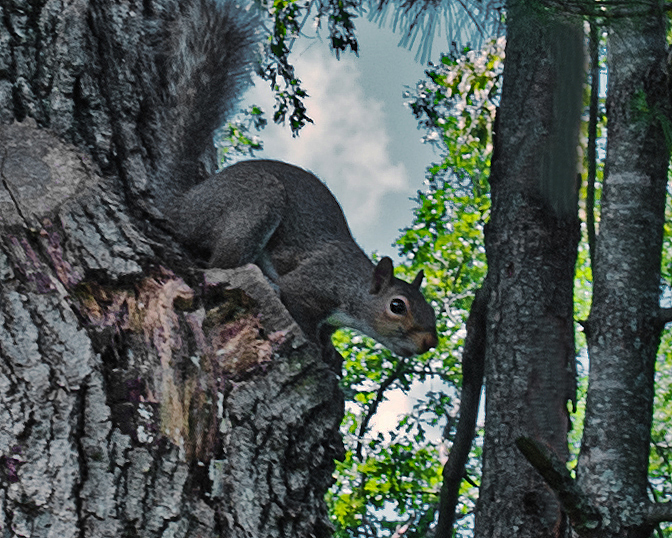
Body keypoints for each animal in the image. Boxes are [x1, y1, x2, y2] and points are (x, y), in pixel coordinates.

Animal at [158, 1, 436, 356]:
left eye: (430, 308)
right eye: (397, 306)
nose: (430, 342)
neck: (354, 284)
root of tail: (183, 203)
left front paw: (329, 349)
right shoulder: (311, 284)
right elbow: (299, 310)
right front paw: (317, 347)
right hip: (255, 204)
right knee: (218, 263)